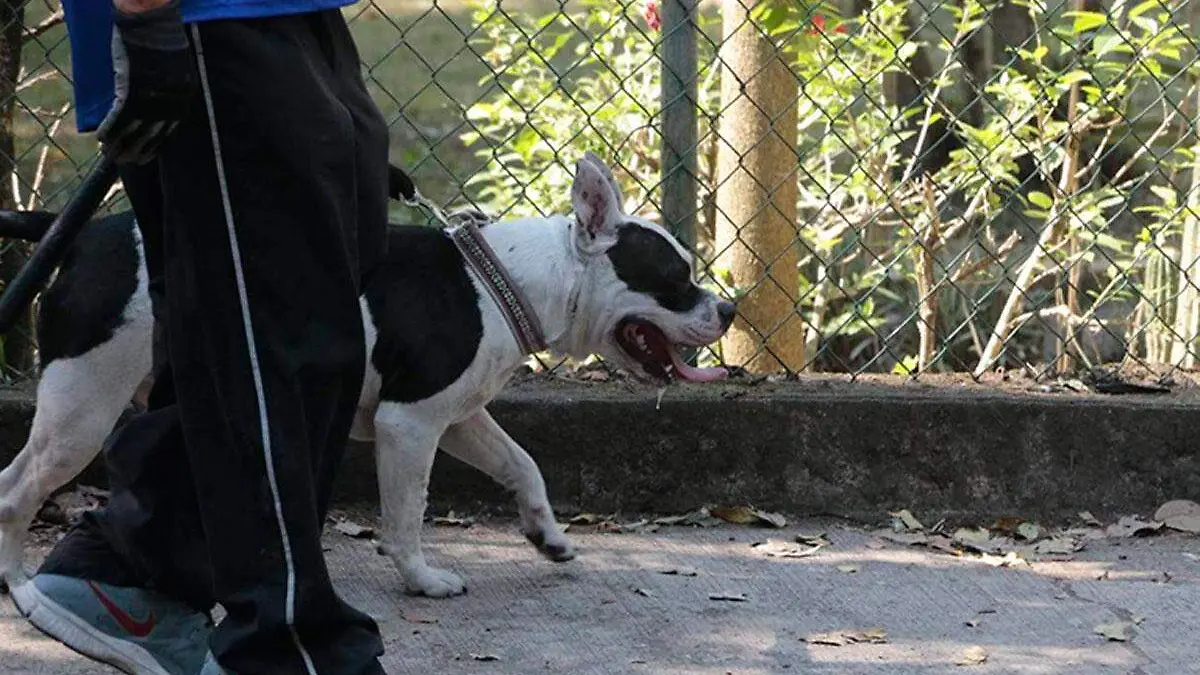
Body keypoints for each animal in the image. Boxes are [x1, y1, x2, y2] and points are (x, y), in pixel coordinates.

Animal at [0, 152, 729, 593]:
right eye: (677, 279)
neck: (505, 280)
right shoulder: (409, 427)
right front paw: (422, 579)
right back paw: (16, 579)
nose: (728, 307)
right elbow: (407, 513)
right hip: (82, 408)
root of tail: (84, 236)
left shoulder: (459, 417)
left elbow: (523, 464)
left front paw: (546, 535)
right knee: (17, 488)